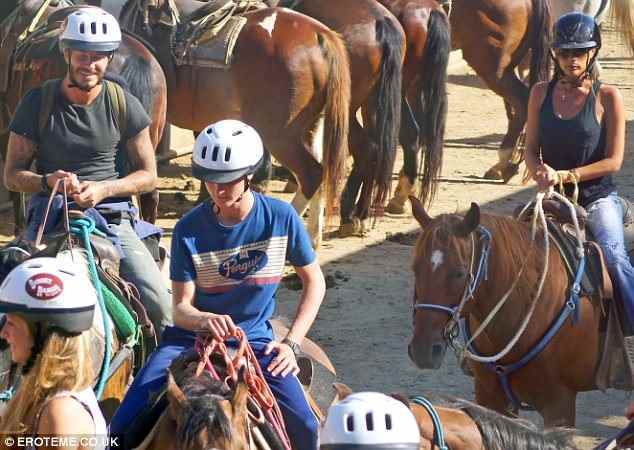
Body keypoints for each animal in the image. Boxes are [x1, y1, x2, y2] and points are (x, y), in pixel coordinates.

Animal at [376, 0, 450, 214]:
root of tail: (431, 10)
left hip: (400, 90)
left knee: (411, 133)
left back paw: (400, 195)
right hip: (416, 86)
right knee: (423, 132)